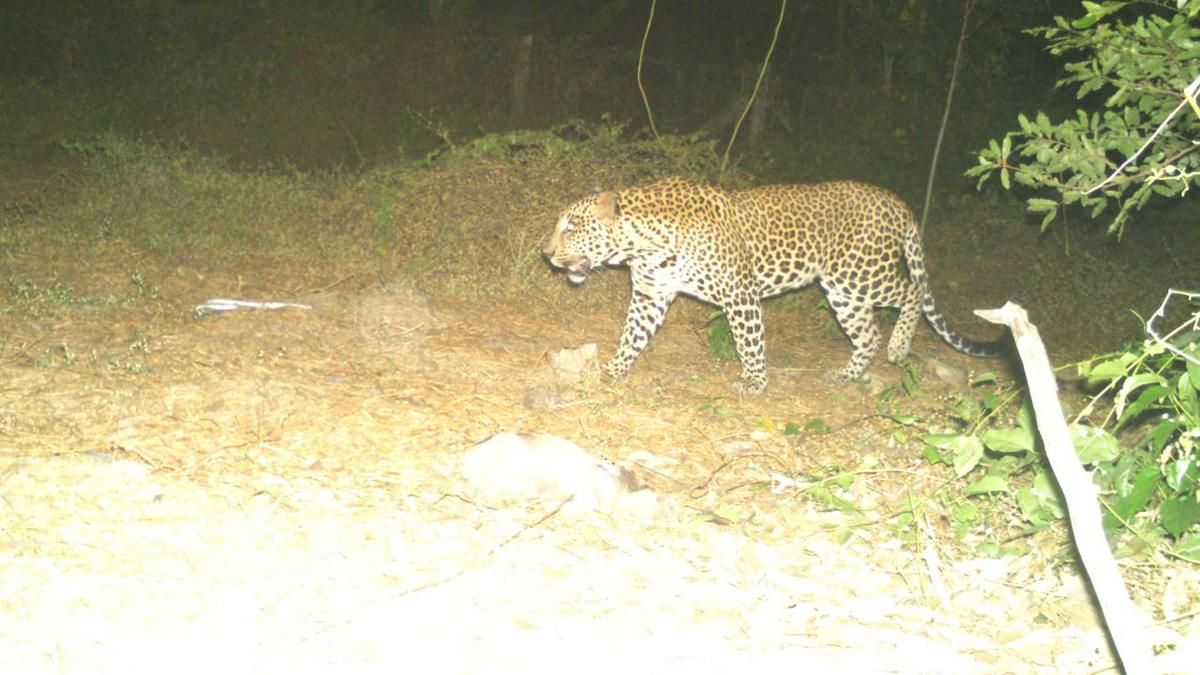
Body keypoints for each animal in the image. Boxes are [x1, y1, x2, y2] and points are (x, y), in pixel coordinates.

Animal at [540, 174, 998, 393]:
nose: (545, 253)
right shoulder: (651, 295)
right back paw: (847, 375)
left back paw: (900, 346)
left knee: (913, 292)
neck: (642, 243)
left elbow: (749, 342)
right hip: (842, 290)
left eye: (571, 226)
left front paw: (755, 382)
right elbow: (632, 335)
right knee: (867, 331)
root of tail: (896, 201)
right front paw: (612, 369)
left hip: (861, 273)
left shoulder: (739, 295)